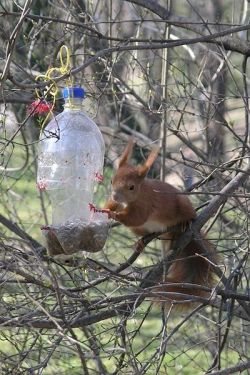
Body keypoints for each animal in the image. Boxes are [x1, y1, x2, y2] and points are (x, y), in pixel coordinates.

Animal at [101, 140, 215, 304]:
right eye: (111, 181)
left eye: (131, 187)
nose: (115, 196)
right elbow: (113, 206)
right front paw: (104, 209)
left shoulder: (146, 205)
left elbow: (136, 218)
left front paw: (114, 214)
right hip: (140, 229)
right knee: (146, 234)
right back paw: (141, 242)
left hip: (184, 205)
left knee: (187, 217)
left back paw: (185, 224)